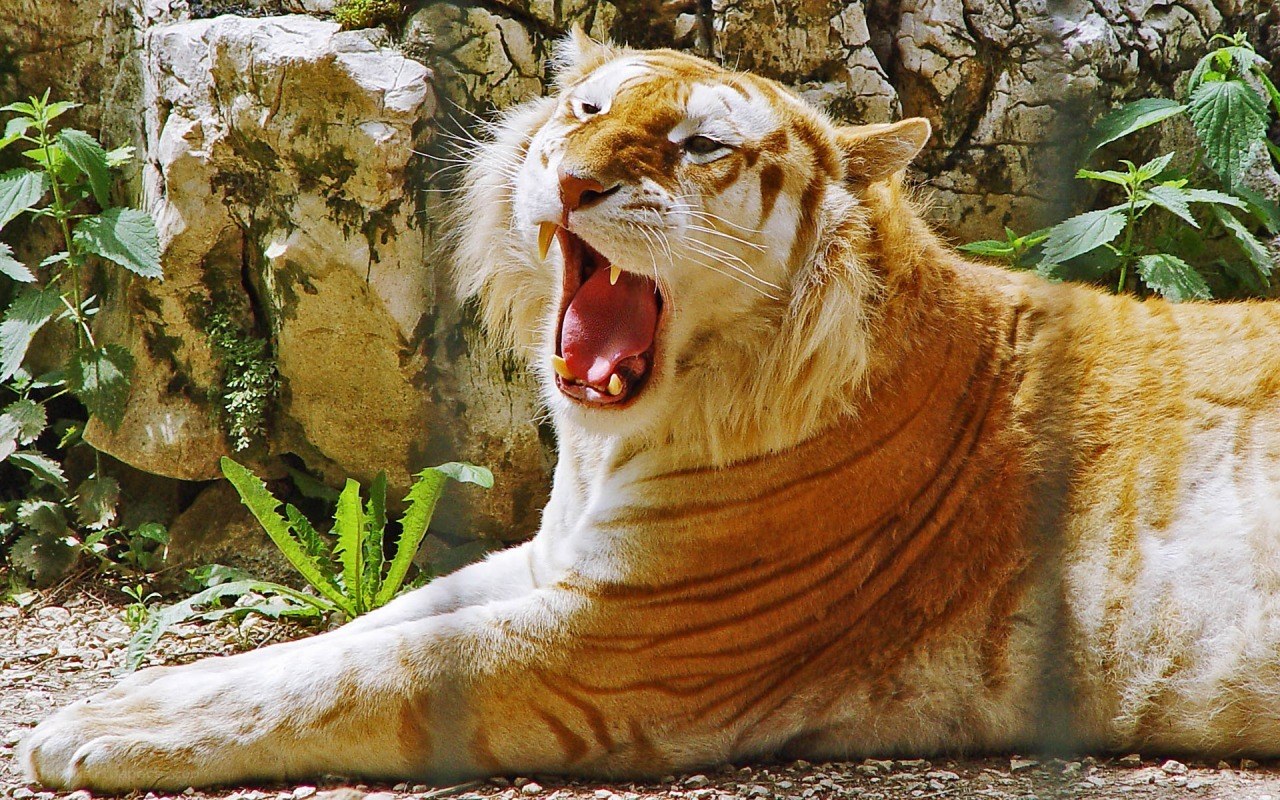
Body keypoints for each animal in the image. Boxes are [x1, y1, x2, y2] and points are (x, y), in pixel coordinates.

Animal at [21, 30, 1280, 791]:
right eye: (583, 106)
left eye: (699, 145)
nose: (573, 177)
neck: (612, 440)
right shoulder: (556, 565)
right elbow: (351, 633)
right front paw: (127, 693)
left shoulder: (620, 642)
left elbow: (365, 670)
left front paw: (91, 729)